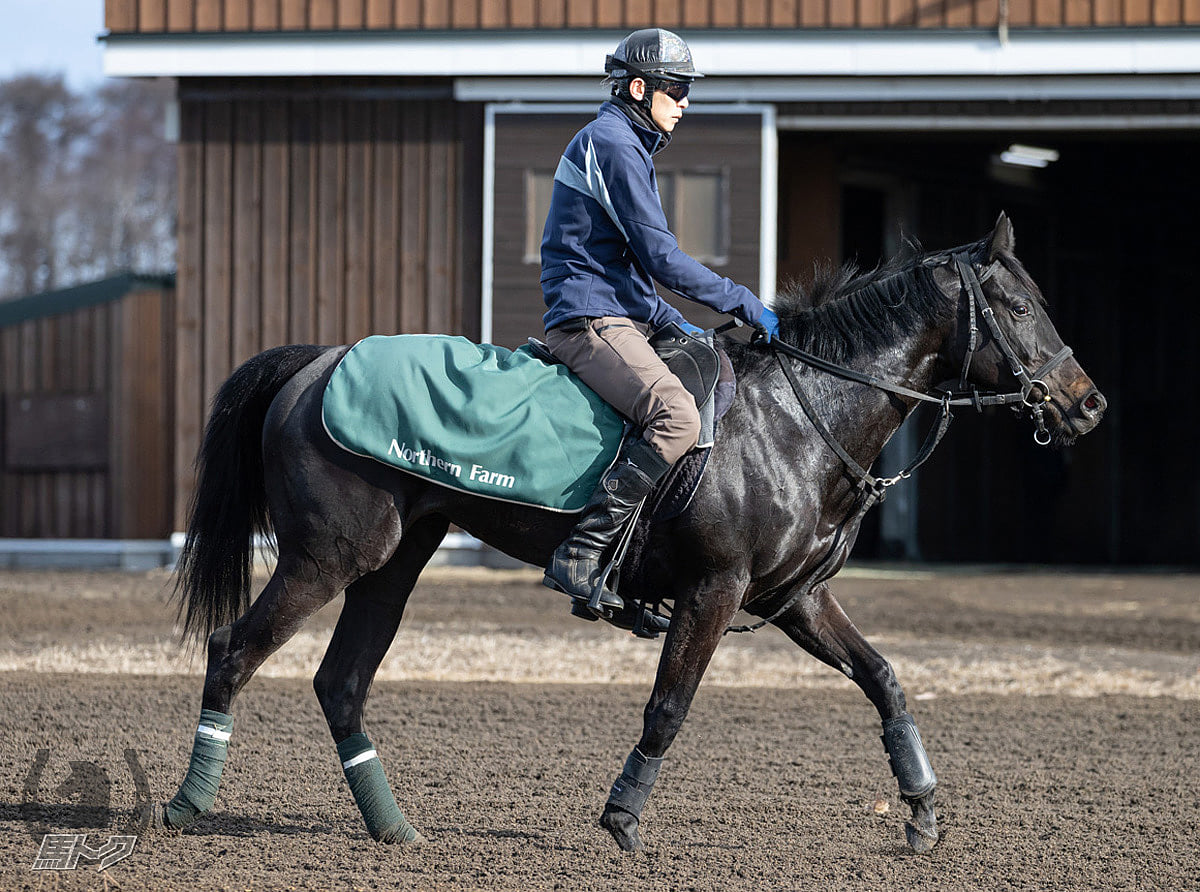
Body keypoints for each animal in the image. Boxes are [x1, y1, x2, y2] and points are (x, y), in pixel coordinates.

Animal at [150, 212, 1104, 854]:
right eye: (1019, 306)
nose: (1088, 404)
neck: (797, 415)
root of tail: (316, 361)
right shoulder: (714, 590)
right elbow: (669, 706)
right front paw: (620, 817)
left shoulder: (797, 599)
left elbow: (884, 680)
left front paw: (923, 811)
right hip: (327, 558)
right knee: (234, 651)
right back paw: (188, 806)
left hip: (392, 565)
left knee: (341, 683)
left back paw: (395, 830)